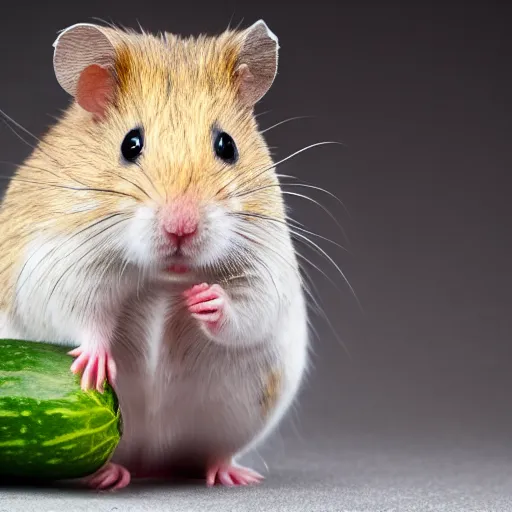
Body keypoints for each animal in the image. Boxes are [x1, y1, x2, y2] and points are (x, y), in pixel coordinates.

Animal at [0, 20, 308, 490]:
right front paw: (95, 367)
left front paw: (204, 300)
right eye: (131, 144)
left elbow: (249, 309)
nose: (181, 227)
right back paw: (106, 474)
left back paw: (232, 474)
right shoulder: (57, 262)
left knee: (212, 453)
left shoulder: (267, 267)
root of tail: (151, 462)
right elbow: (82, 318)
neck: (164, 280)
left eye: (227, 145)